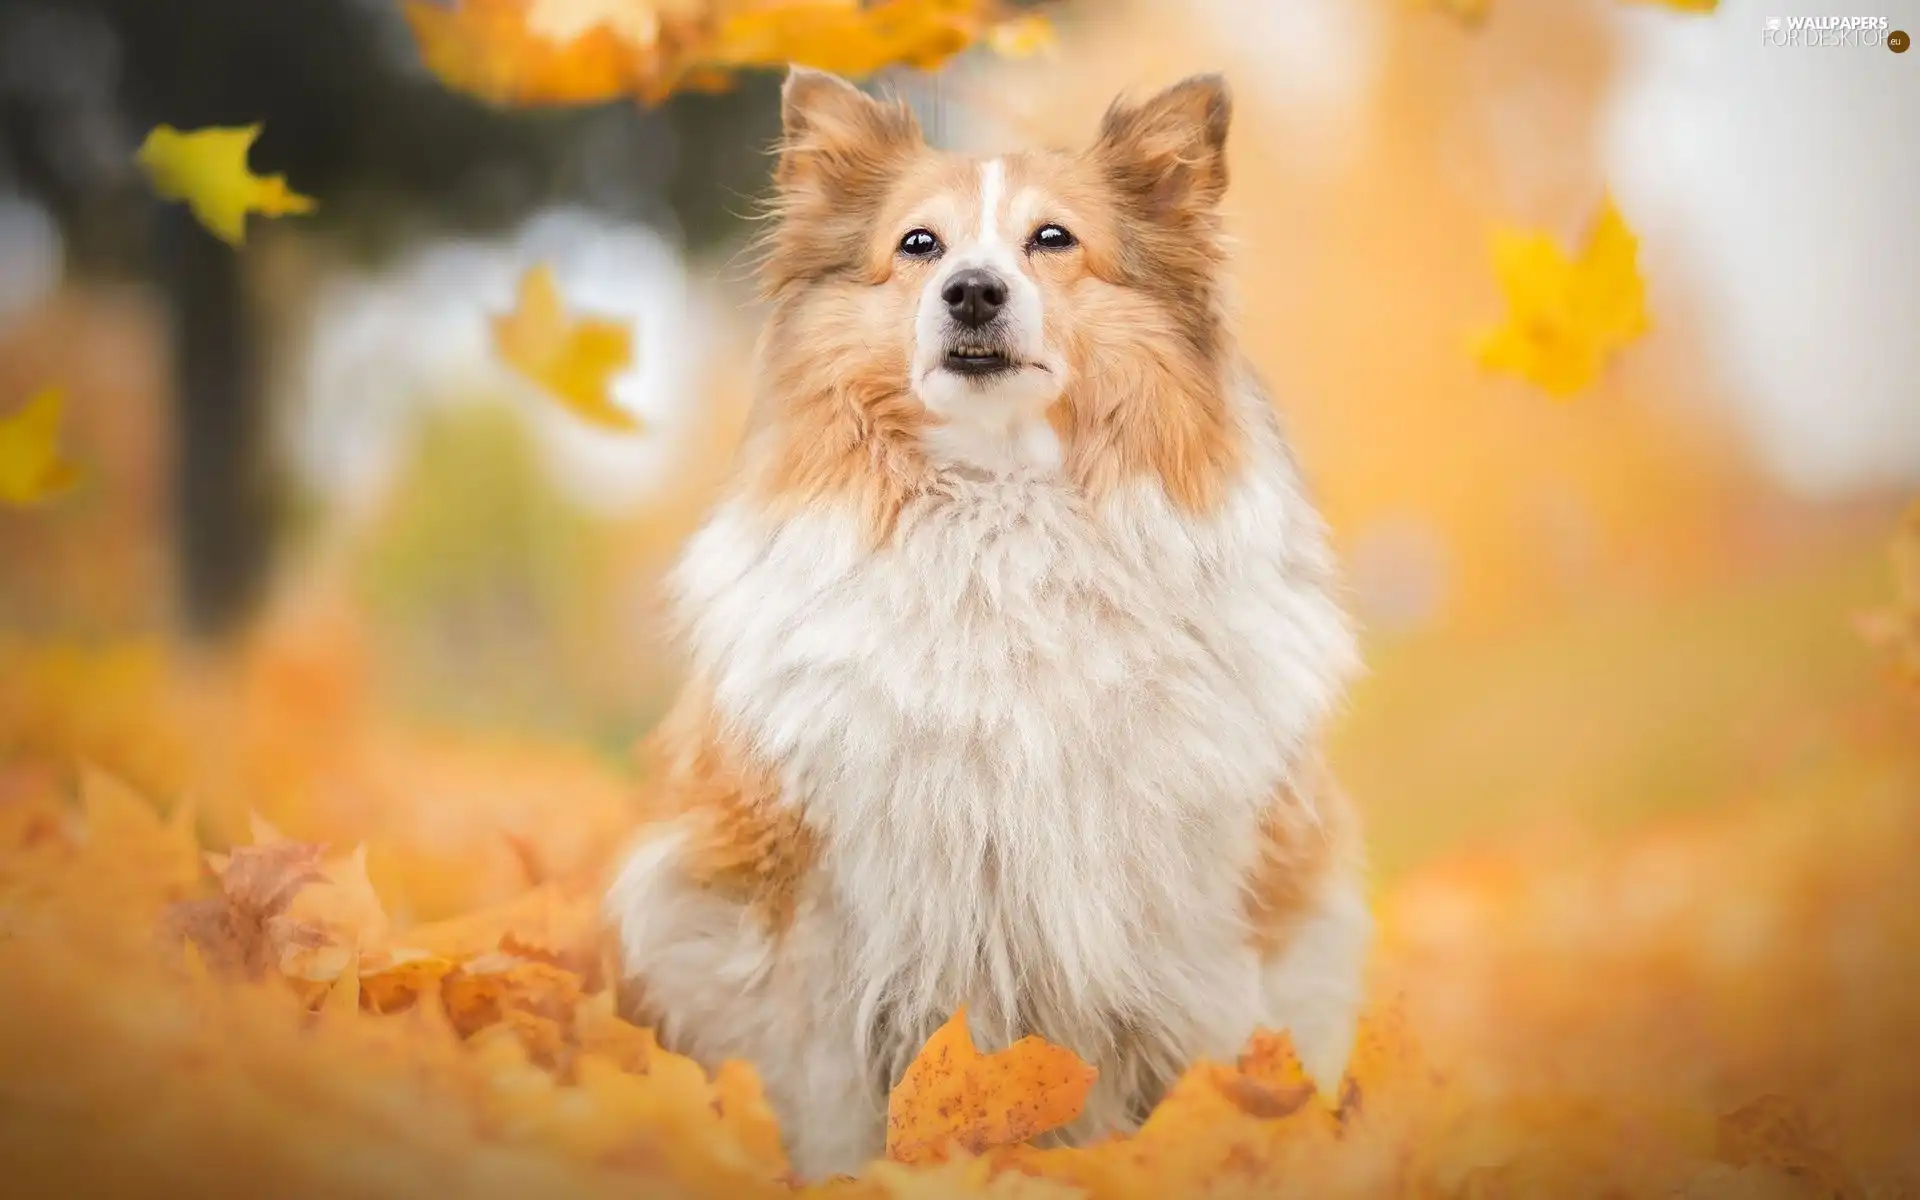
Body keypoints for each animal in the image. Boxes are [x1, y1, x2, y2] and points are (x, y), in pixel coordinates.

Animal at [606, 67, 1374, 1182]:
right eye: (918, 245)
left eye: (1053, 239)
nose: (972, 290)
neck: (1001, 510)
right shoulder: (819, 906)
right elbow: (827, 1098)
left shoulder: (1193, 906)